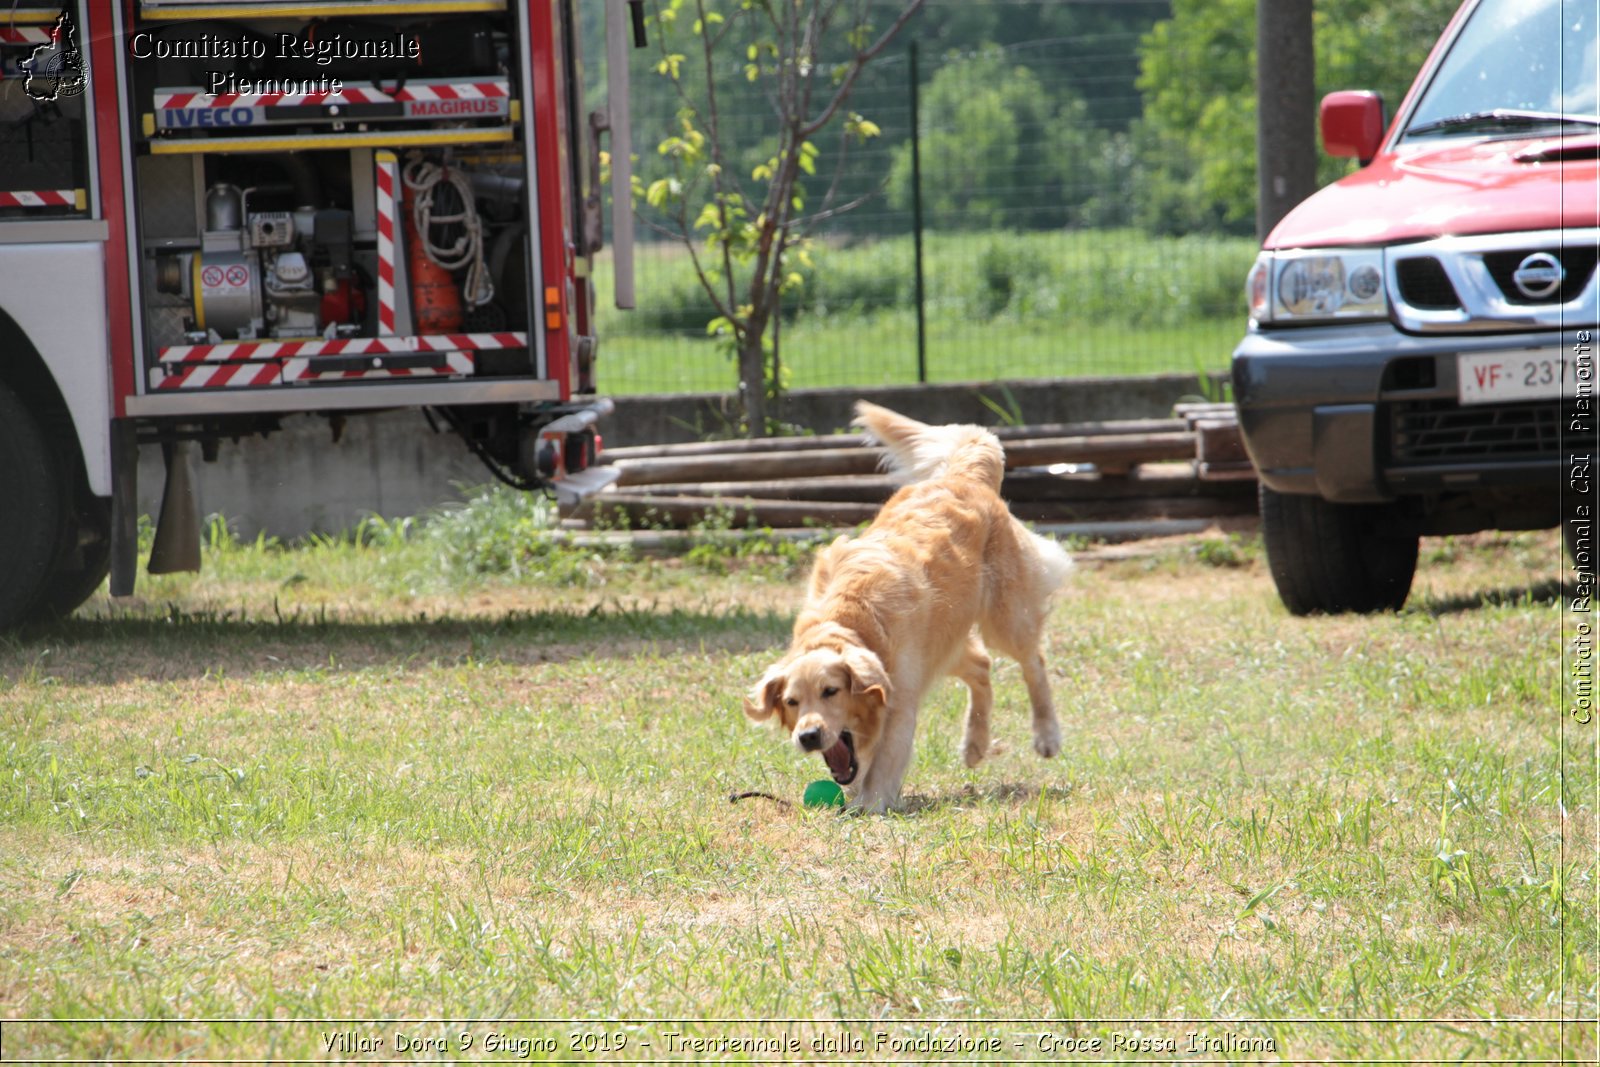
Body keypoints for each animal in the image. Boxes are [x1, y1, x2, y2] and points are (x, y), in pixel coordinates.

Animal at [739, 404, 1068, 812]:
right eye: (791, 701)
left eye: (831, 691)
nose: (809, 736)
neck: (850, 621)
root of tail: (964, 476)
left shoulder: (900, 700)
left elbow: (885, 760)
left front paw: (870, 804)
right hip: (944, 640)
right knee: (981, 665)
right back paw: (974, 744)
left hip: (1005, 618)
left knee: (1033, 662)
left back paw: (1046, 734)